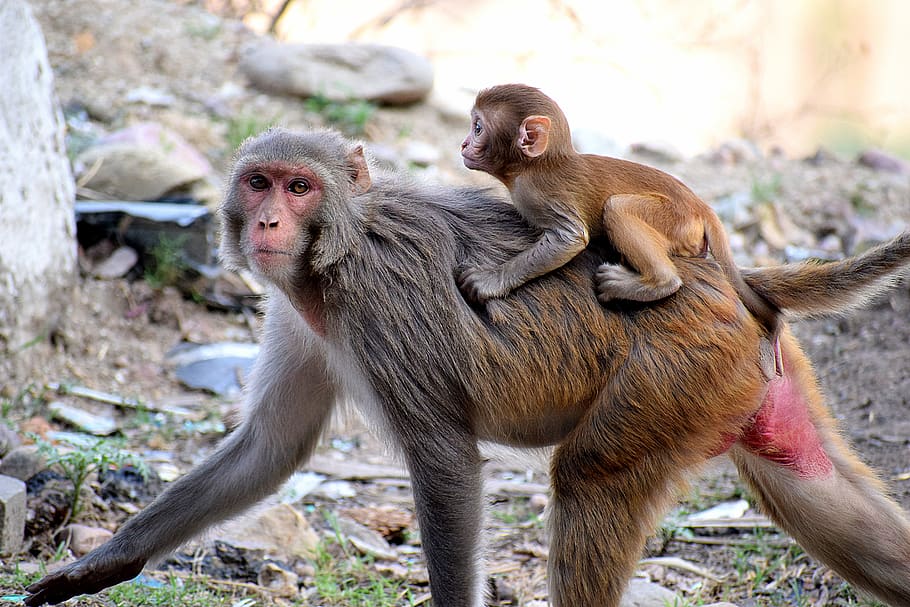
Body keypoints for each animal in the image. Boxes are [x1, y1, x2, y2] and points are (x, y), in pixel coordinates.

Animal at [25, 128, 910, 607]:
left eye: (300, 186)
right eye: (259, 183)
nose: (269, 221)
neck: (335, 254)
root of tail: (732, 278)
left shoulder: (378, 310)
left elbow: (446, 462)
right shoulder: (301, 317)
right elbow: (270, 448)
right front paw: (104, 562)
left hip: (675, 374)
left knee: (588, 477)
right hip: (742, 380)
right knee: (814, 483)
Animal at [459, 83, 784, 375]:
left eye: (478, 128)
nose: (463, 144)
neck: (533, 166)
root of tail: (700, 207)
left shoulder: (539, 192)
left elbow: (570, 238)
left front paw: (490, 280)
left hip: (673, 219)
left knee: (618, 208)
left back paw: (653, 283)